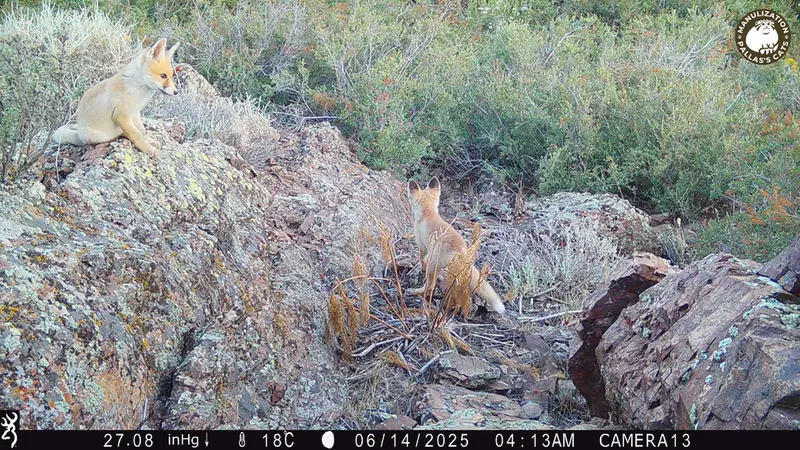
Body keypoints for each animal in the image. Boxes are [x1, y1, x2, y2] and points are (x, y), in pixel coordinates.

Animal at [406, 177, 506, 314]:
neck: (428, 213)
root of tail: (461, 250)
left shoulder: (422, 246)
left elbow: (421, 258)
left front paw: (421, 267)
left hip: (433, 263)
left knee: (430, 286)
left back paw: (416, 292)